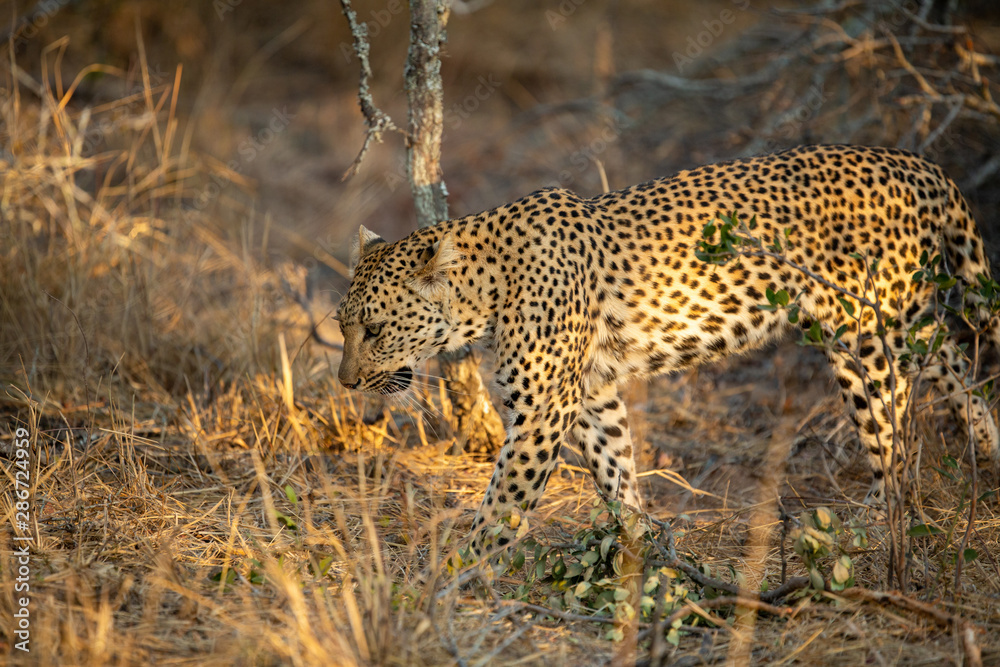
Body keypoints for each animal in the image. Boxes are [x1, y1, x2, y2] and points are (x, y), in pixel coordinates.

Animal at [336, 144, 1000, 558]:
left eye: (374, 328)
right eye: (343, 326)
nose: (346, 382)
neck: (486, 295)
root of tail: (917, 163)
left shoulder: (544, 411)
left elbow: (505, 500)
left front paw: (462, 574)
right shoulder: (591, 394)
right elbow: (615, 469)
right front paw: (642, 542)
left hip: (862, 336)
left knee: (895, 433)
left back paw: (877, 525)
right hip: (904, 318)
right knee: (953, 360)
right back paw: (989, 453)